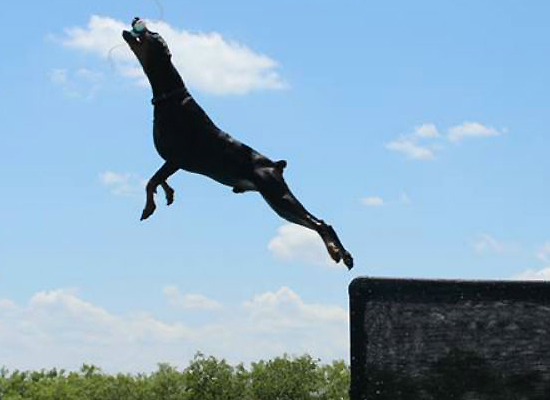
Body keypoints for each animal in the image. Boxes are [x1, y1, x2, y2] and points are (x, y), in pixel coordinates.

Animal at [122, 18, 354, 268]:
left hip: (278, 196)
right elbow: (158, 180)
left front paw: (148, 208)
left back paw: (340, 253)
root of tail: (276, 165)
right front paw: (168, 193)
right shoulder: (173, 163)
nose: (136, 18)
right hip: (274, 199)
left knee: (321, 222)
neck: (170, 98)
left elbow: (150, 182)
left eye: (152, 33)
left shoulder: (176, 158)